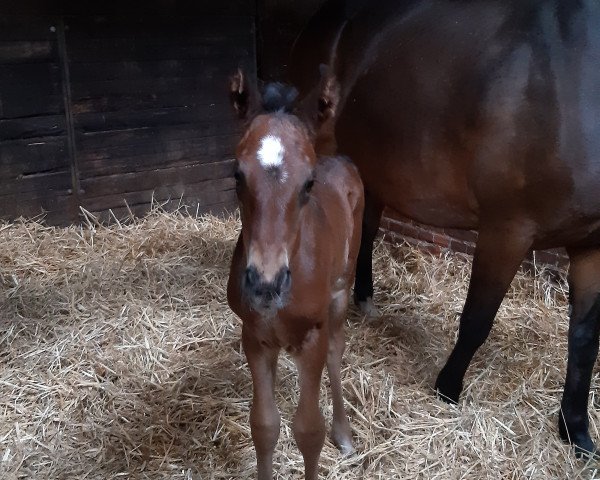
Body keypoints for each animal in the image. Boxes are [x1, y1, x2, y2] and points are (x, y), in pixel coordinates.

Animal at [226, 69, 364, 478]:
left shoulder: (311, 337)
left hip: (341, 291)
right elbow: (264, 425)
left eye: (308, 183)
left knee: (336, 350)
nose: (265, 283)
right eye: (237, 175)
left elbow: (308, 430)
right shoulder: (255, 337)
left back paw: (344, 433)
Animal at [290, 0, 600, 456]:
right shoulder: (507, 231)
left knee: (365, 229)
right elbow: (476, 321)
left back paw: (364, 297)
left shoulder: (591, 246)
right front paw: (447, 389)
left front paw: (576, 431)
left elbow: (583, 342)